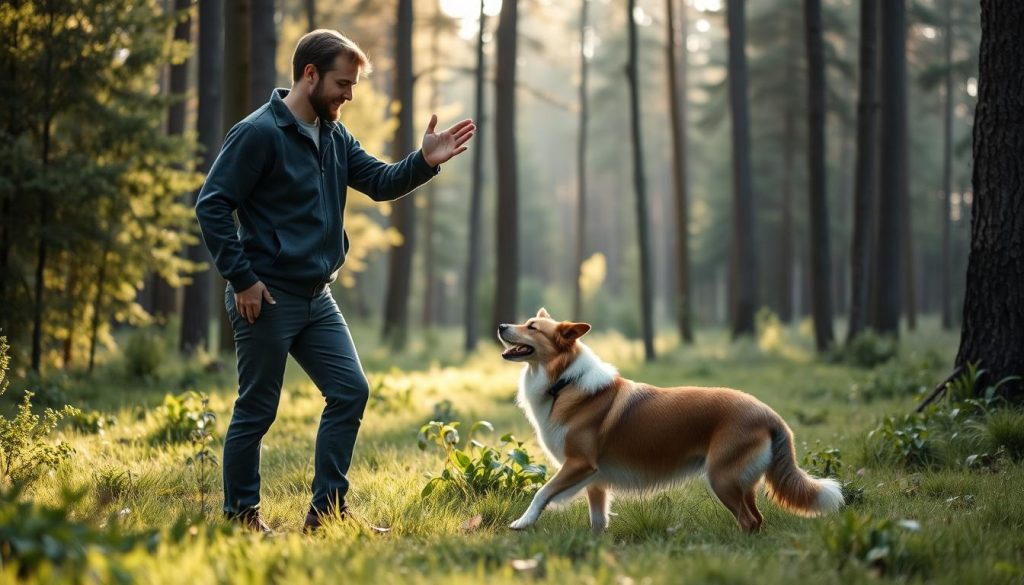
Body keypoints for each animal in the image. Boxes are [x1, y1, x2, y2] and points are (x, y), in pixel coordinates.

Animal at [495, 309, 839, 532]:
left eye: (532, 327)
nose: (500, 325)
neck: (563, 381)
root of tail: (769, 413)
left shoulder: (579, 464)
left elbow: (542, 493)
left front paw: (522, 523)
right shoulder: (595, 479)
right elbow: (598, 519)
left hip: (722, 477)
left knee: (749, 520)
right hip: (741, 481)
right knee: (757, 518)